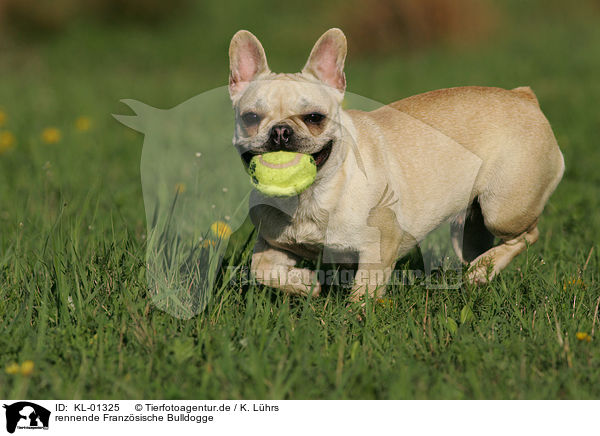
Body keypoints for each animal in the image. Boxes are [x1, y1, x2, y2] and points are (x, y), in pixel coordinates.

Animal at [227, 27, 564, 300]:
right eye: (251, 118)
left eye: (314, 118)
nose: (280, 132)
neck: (310, 196)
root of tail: (523, 97)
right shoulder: (273, 242)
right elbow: (262, 269)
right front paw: (306, 283)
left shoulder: (378, 247)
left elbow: (363, 292)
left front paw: (354, 319)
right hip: (469, 225)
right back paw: (482, 271)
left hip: (504, 209)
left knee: (527, 235)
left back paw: (482, 270)